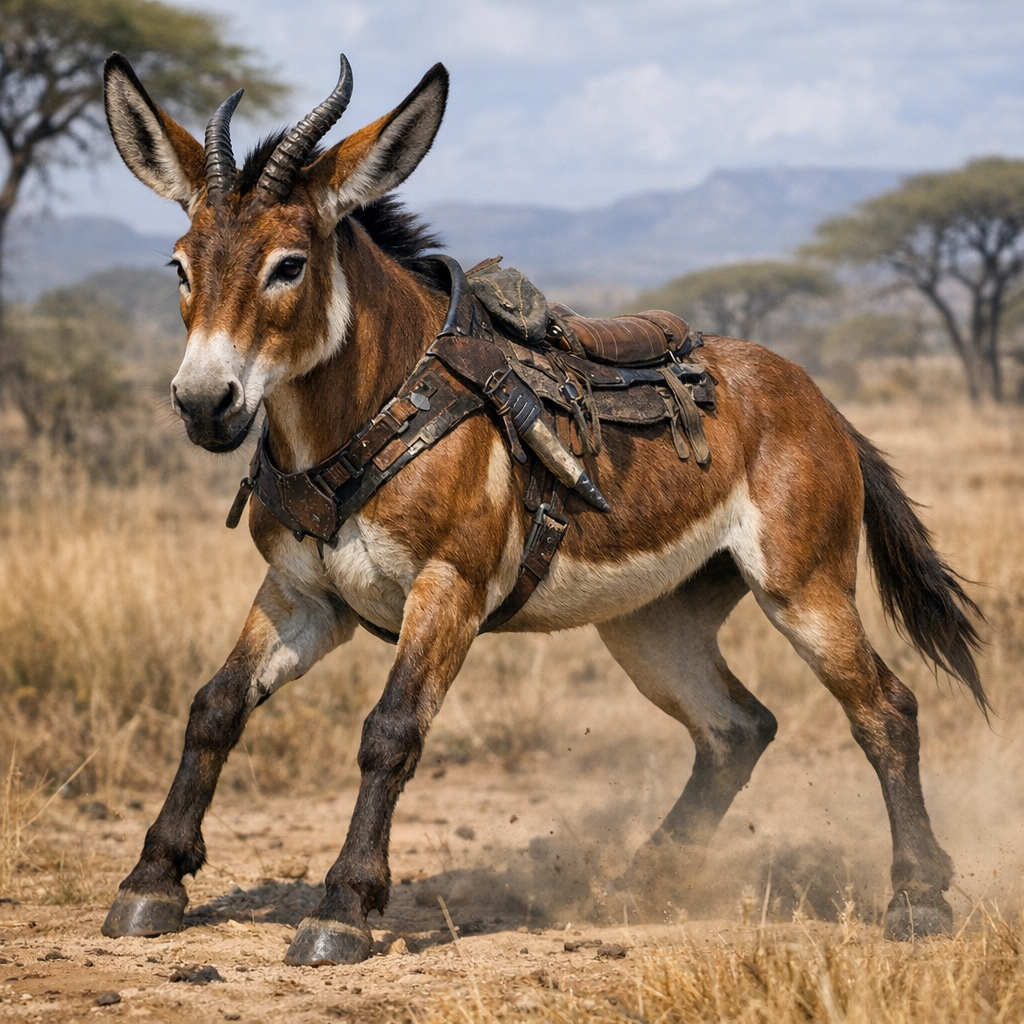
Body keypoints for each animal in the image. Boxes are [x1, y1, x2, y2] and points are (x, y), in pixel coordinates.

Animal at [100, 52, 985, 966]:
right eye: (179, 267)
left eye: (288, 265)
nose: (204, 403)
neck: (375, 412)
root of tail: (821, 402)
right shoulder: (301, 598)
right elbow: (214, 708)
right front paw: (153, 880)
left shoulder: (447, 592)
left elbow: (390, 731)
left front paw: (342, 906)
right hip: (652, 624)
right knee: (737, 728)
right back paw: (641, 884)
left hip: (804, 591)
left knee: (885, 711)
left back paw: (916, 898)